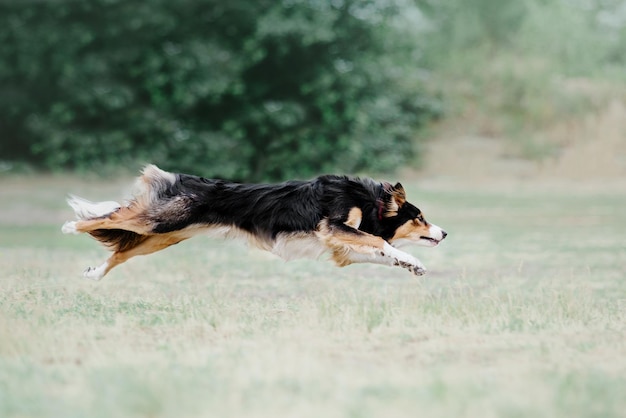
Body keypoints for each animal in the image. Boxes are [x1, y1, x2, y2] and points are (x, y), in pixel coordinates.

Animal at [62, 165, 444, 280]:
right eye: (420, 218)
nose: (444, 232)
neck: (373, 204)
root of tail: (182, 179)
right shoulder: (334, 227)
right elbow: (379, 242)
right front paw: (410, 259)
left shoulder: (340, 247)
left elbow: (382, 252)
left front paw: (411, 264)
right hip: (160, 222)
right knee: (113, 215)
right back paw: (69, 226)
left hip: (164, 236)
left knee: (120, 251)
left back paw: (94, 274)